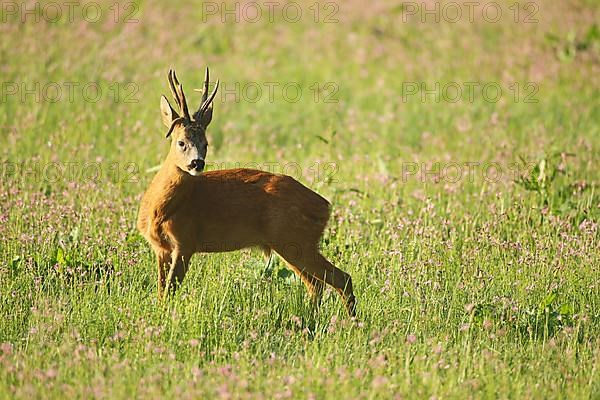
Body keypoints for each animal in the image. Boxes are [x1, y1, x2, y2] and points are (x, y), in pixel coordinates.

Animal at [138, 67, 354, 316]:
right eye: (181, 142)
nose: (197, 163)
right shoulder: (161, 249)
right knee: (316, 285)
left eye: (206, 144)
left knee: (341, 279)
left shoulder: (185, 242)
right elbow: (161, 292)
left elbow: (169, 293)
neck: (160, 210)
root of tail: (324, 206)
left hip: (294, 240)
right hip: (292, 244)